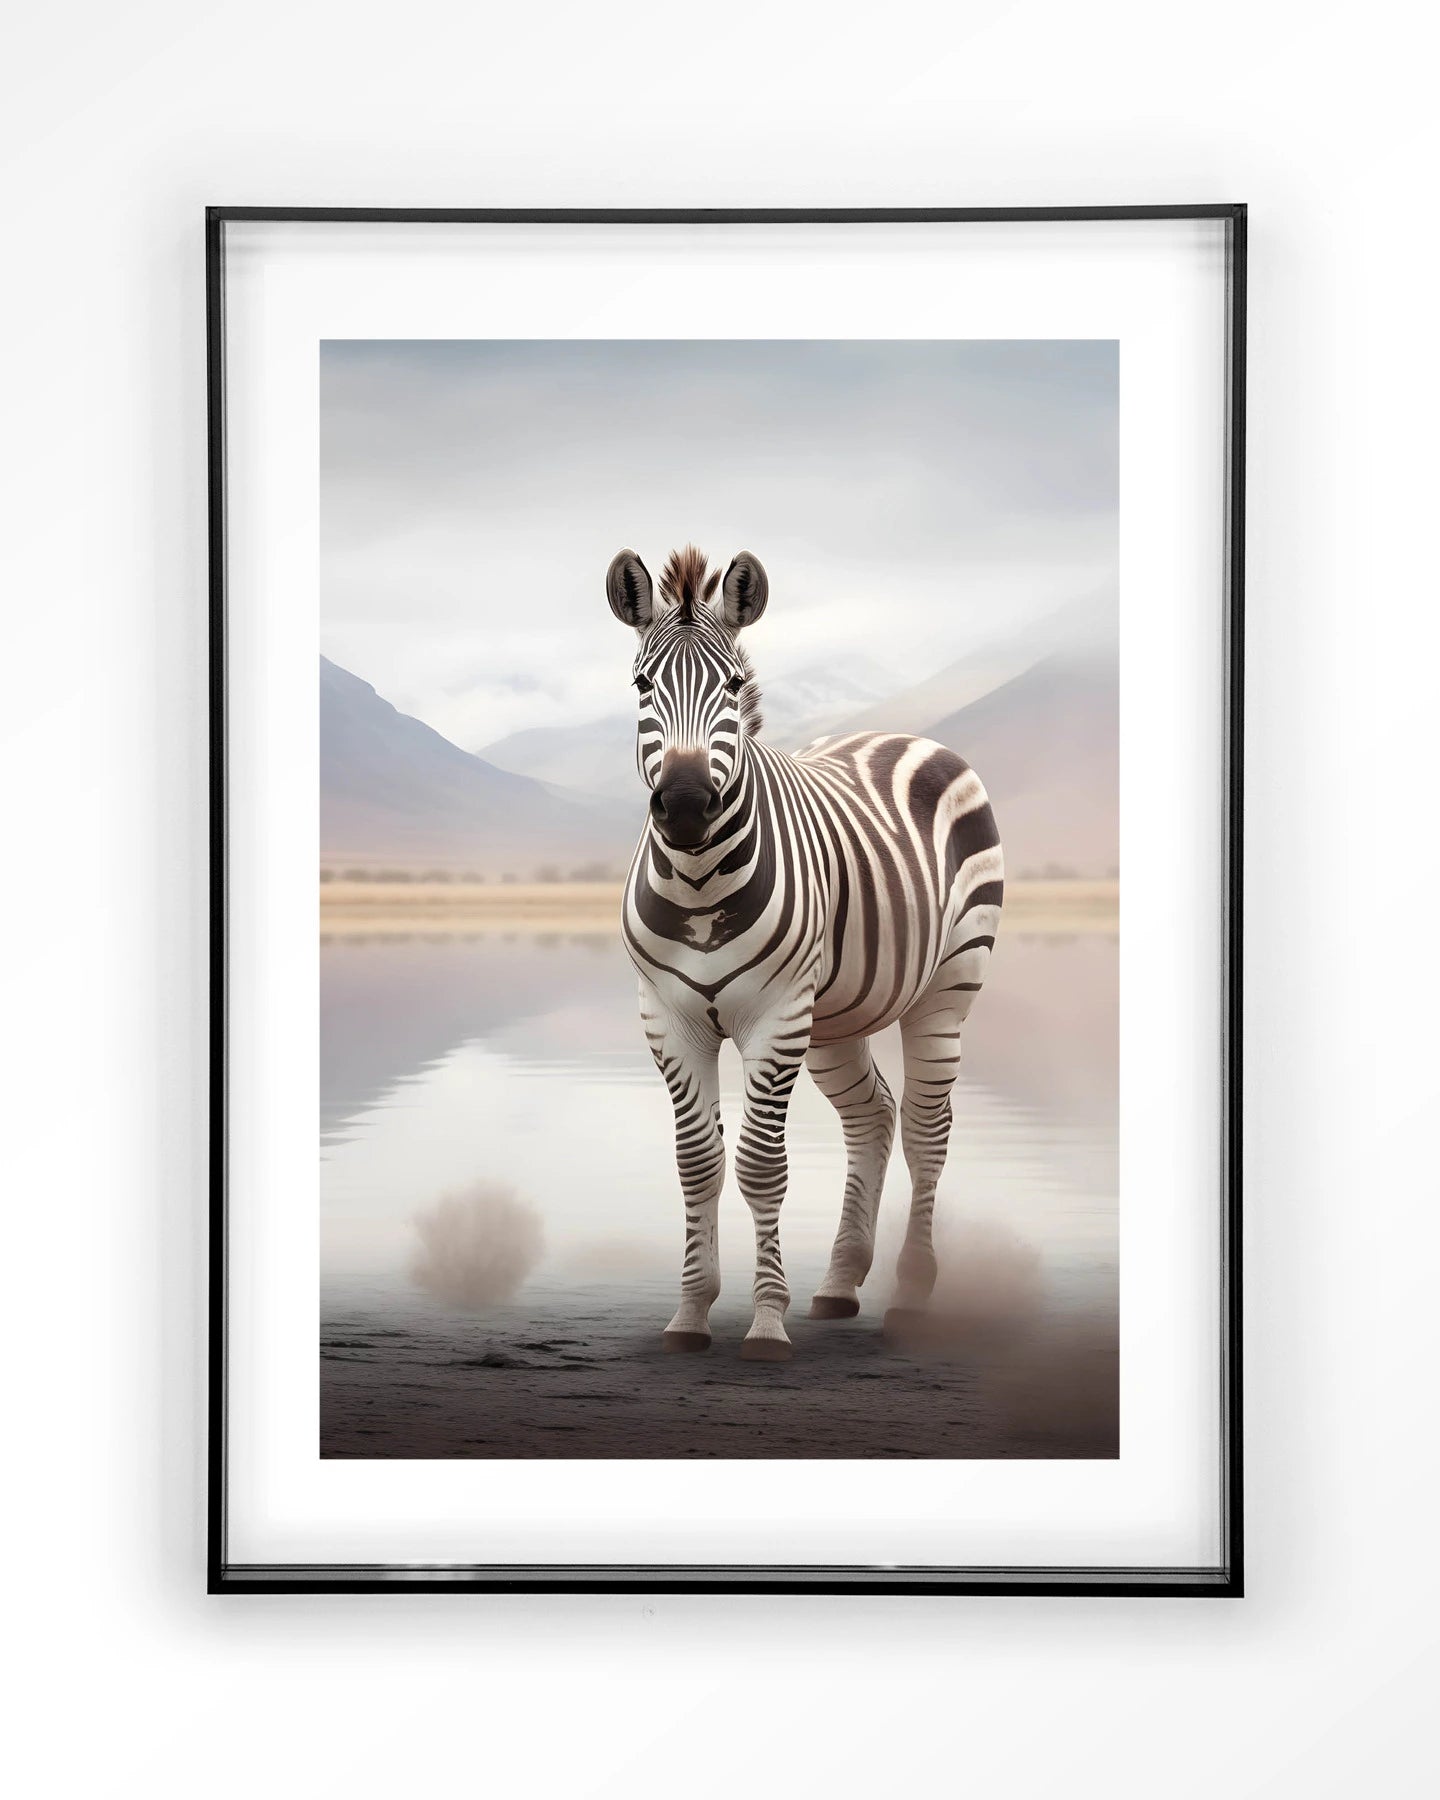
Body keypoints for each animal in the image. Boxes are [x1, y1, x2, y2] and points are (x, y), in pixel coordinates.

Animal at [608, 544, 1003, 1361]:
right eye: (641, 685)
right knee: (873, 1117)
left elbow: (761, 1166)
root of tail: (904, 734)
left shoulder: (775, 1016)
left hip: (947, 988)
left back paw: (910, 1296)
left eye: (732, 685)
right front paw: (690, 1314)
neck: (698, 882)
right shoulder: (668, 1018)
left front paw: (765, 1323)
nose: (685, 805)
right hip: (836, 1019)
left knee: (926, 1130)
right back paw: (841, 1283)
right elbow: (697, 1165)